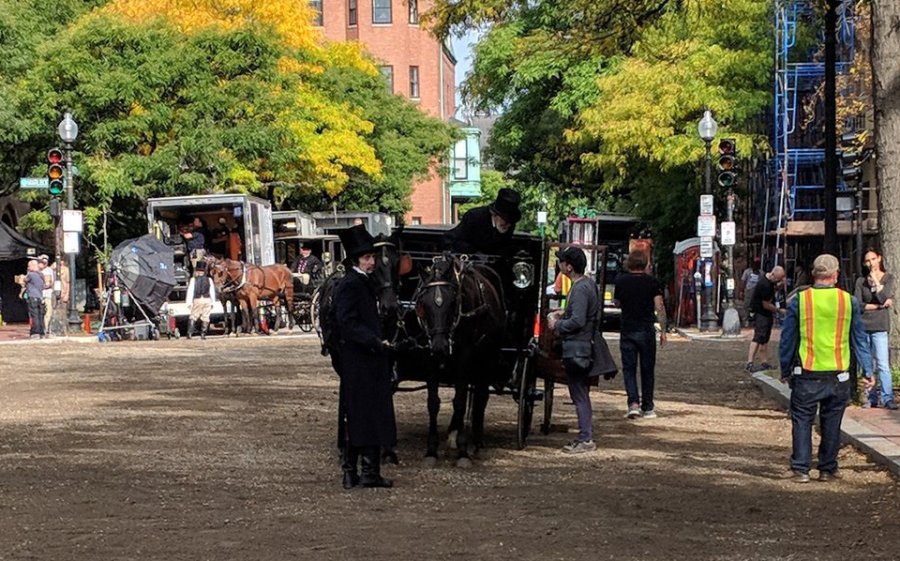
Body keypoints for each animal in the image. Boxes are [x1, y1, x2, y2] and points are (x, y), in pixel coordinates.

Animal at [414, 253, 506, 464]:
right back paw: (453, 434)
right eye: (423, 305)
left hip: (486, 358)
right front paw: (431, 450)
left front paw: (463, 450)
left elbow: (461, 401)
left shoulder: (464, 358)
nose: (440, 347)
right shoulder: (428, 357)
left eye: (452, 303)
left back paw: (475, 442)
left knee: (480, 396)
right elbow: (433, 402)